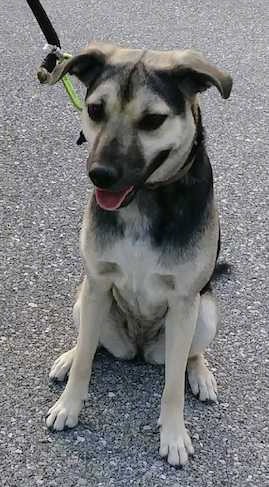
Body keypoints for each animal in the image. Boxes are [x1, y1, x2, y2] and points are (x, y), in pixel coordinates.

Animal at [43, 43, 231, 468]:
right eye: (95, 109)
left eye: (153, 120)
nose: (100, 175)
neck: (144, 200)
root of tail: (140, 347)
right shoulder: (97, 284)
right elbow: (85, 360)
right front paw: (69, 404)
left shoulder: (184, 301)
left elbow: (172, 385)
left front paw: (174, 434)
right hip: (84, 300)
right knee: (91, 341)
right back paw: (69, 355)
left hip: (204, 312)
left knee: (188, 356)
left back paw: (201, 374)